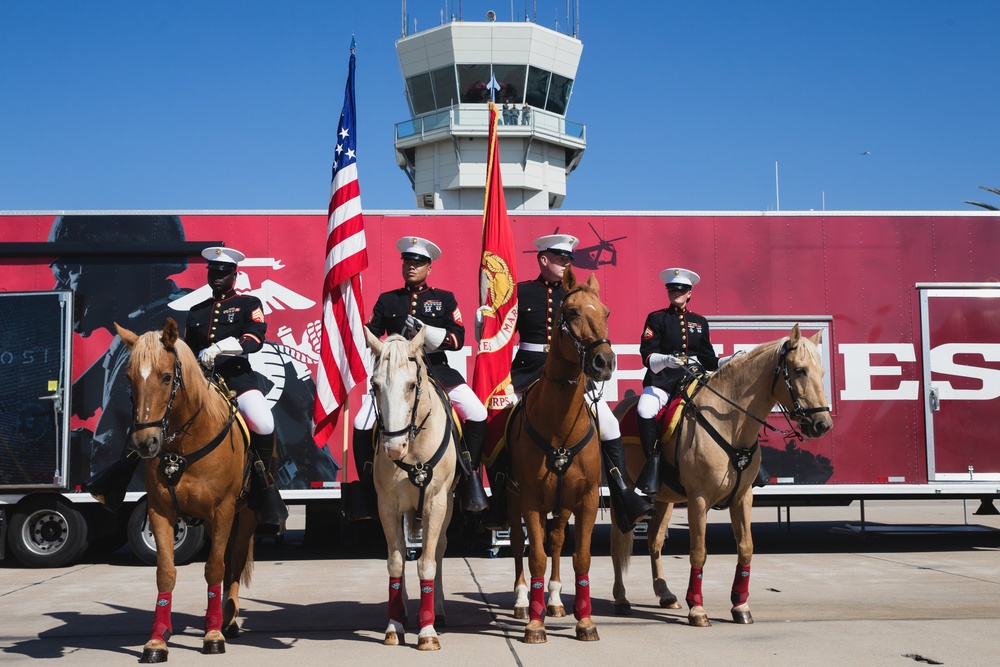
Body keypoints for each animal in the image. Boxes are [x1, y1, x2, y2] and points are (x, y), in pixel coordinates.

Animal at [117, 318, 258, 664]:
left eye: (167, 377)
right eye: (129, 378)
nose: (145, 443)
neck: (183, 447)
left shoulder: (222, 510)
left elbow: (215, 569)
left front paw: (213, 635)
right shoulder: (160, 512)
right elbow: (165, 572)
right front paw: (156, 640)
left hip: (245, 514)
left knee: (234, 563)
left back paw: (227, 619)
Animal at [364, 328, 458, 652]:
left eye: (412, 385)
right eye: (375, 385)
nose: (394, 447)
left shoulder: (436, 503)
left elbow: (427, 562)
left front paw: (427, 631)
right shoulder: (387, 506)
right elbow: (395, 562)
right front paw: (394, 625)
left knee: (438, 550)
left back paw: (438, 610)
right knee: (403, 554)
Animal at [504, 264, 612, 640]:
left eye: (606, 313)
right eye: (573, 312)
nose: (605, 362)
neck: (560, 426)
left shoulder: (587, 498)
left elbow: (580, 556)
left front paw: (586, 621)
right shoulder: (530, 500)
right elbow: (534, 555)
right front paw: (535, 625)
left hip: (562, 504)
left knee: (555, 540)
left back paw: (553, 600)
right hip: (514, 501)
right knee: (520, 545)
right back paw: (524, 602)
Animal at [608, 326, 836, 628]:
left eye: (822, 372)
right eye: (799, 370)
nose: (822, 424)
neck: (730, 425)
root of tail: (622, 407)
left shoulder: (743, 496)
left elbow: (746, 547)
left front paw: (740, 604)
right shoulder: (698, 499)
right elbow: (699, 551)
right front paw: (697, 608)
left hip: (665, 497)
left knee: (654, 540)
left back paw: (665, 593)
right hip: (623, 492)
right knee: (618, 540)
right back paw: (621, 599)